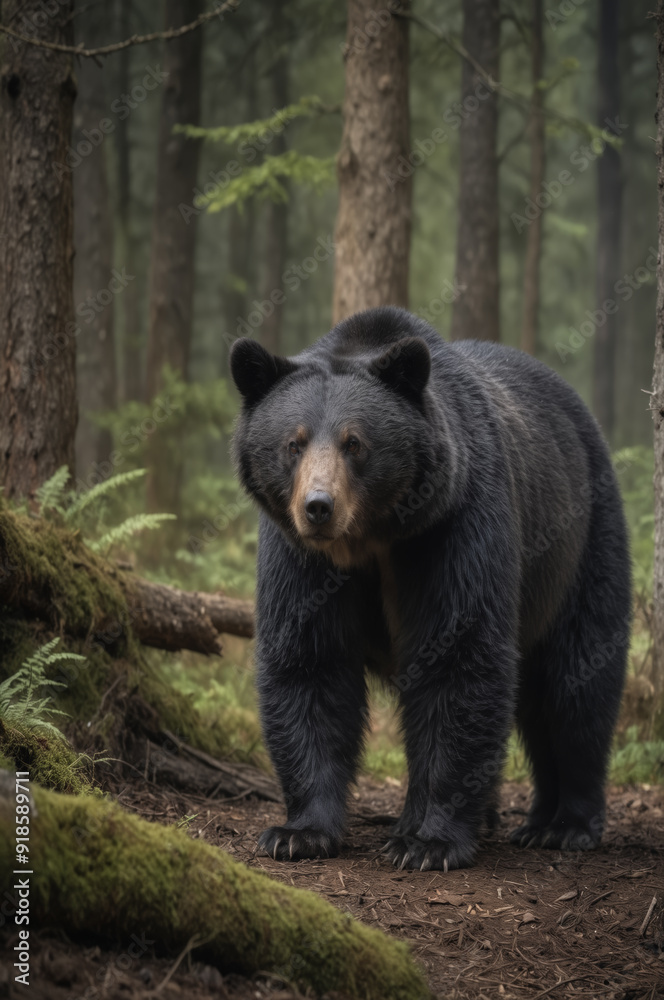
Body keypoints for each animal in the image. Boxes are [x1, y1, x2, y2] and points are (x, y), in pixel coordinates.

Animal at [229, 306, 631, 872]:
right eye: (294, 442)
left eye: (355, 442)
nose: (318, 506)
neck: (371, 540)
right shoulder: (300, 557)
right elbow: (309, 661)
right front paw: (298, 833)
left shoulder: (452, 528)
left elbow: (457, 659)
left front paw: (429, 842)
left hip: (582, 540)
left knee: (577, 683)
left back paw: (565, 824)